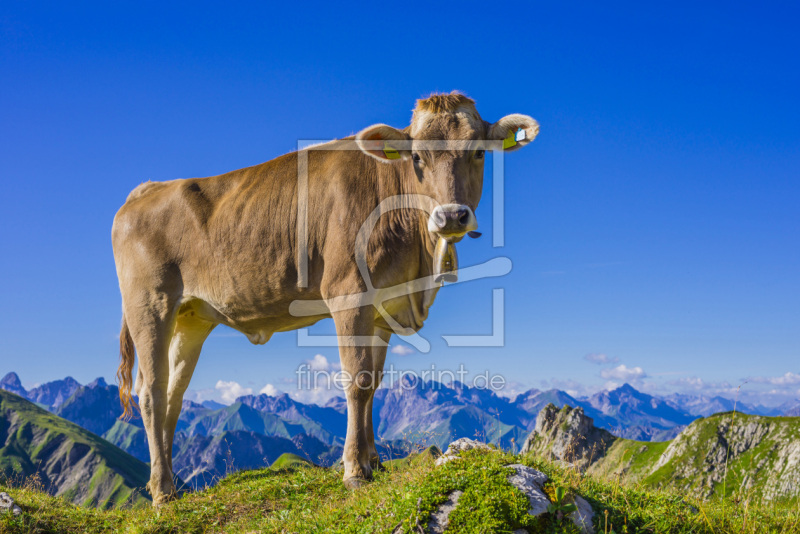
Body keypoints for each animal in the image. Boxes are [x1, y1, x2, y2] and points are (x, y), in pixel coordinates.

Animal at [112, 92, 536, 506]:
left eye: (478, 152)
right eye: (417, 157)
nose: (451, 216)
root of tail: (147, 189)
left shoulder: (383, 307)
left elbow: (374, 382)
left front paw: (374, 462)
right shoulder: (349, 293)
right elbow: (357, 380)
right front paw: (354, 471)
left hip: (191, 318)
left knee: (173, 395)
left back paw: (170, 486)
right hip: (149, 306)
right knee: (151, 393)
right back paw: (162, 492)